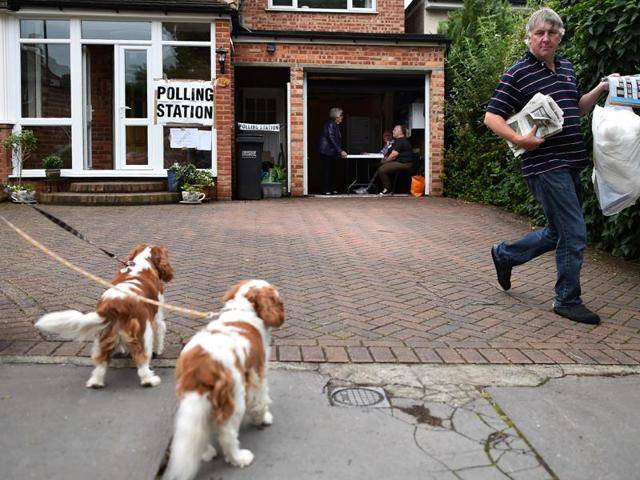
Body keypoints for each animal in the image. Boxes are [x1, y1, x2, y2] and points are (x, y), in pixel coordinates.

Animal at [33, 246, 174, 388]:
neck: (141, 263)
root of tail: (115, 305)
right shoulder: (157, 318)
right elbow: (160, 333)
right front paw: (158, 351)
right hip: (142, 333)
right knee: (142, 359)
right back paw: (149, 380)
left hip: (104, 335)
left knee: (101, 362)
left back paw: (96, 382)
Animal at [164, 280, 284, 478]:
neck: (242, 308)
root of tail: (200, 367)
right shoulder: (257, 374)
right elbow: (260, 401)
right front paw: (263, 418)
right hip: (235, 398)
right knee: (227, 435)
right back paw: (239, 458)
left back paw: (206, 453)